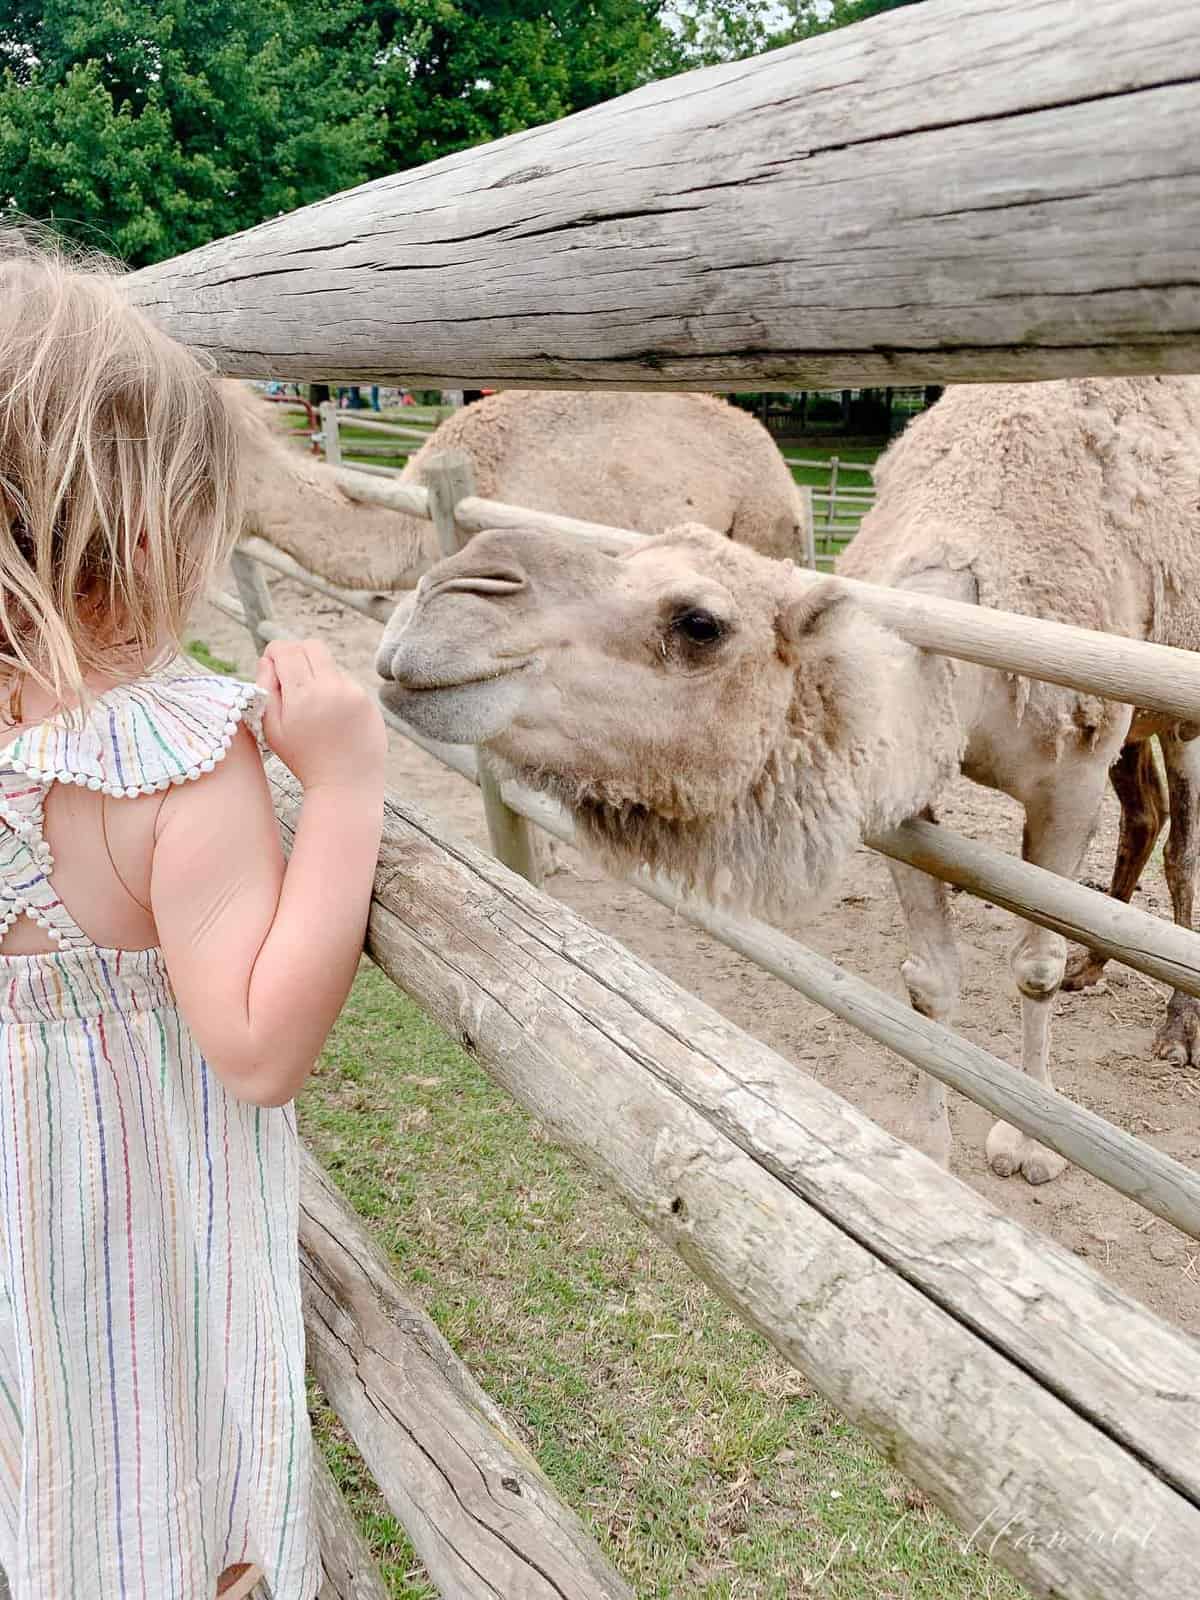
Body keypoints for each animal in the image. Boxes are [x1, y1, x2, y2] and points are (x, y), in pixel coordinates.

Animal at [380, 371, 1200, 1177]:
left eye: (700, 624)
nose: (445, 598)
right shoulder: (907, 796)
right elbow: (930, 979)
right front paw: (931, 1146)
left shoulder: (1070, 774)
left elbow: (1034, 965)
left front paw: (1030, 1144)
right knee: (1145, 816)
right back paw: (1097, 968)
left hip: (1176, 713)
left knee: (1180, 845)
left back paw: (1175, 1030)